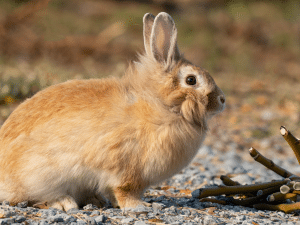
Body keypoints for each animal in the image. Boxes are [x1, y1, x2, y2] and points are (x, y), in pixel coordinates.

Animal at [0, 12, 225, 210]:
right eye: (191, 80)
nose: (222, 100)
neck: (162, 105)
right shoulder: (128, 171)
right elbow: (124, 191)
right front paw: (139, 206)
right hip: (40, 175)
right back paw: (65, 203)